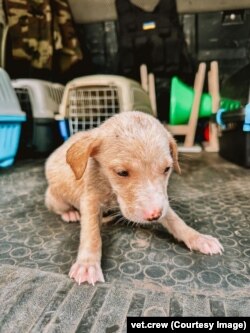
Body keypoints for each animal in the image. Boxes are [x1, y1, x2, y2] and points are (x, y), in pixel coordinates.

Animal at [45, 110, 223, 284]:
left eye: (167, 169)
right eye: (121, 172)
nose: (154, 215)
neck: (111, 189)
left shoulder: (162, 201)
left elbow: (175, 220)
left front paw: (198, 237)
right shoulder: (90, 198)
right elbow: (91, 233)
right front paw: (87, 264)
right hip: (56, 197)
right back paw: (70, 213)